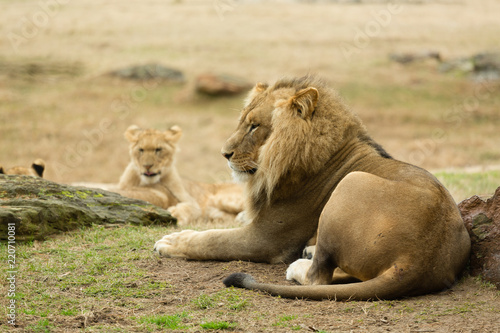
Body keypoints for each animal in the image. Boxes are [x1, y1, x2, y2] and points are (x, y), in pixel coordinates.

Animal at [154, 76, 470, 300]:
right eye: (242, 123)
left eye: (255, 126)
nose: (224, 154)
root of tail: (420, 260)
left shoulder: (266, 239)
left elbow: (213, 240)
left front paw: (171, 242)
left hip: (350, 182)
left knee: (318, 278)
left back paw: (298, 265)